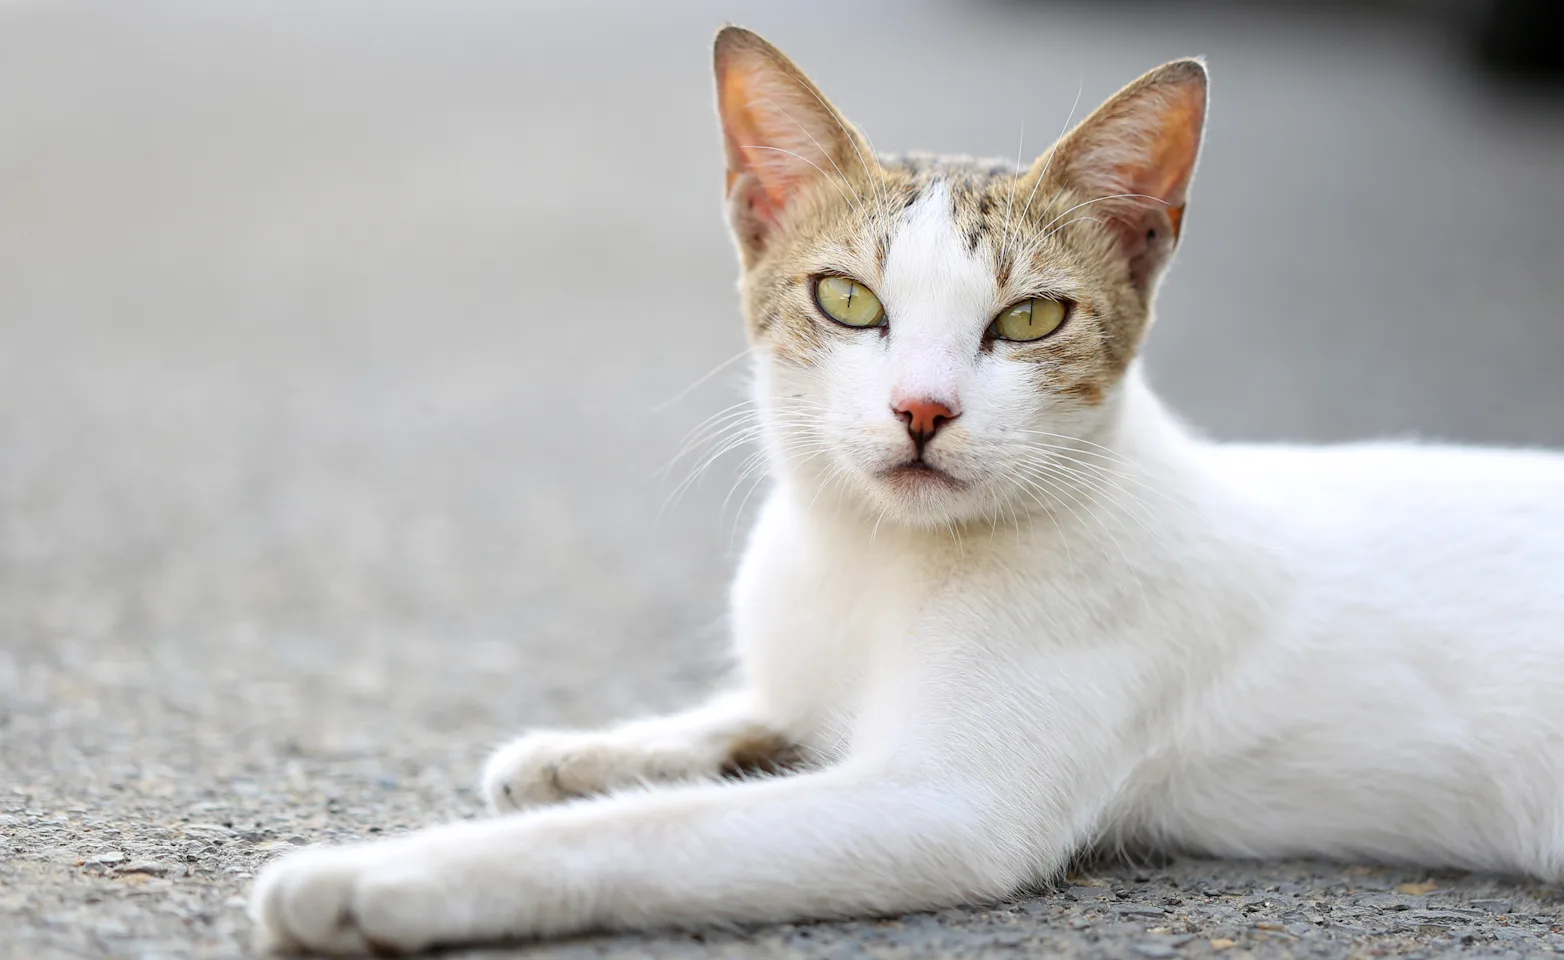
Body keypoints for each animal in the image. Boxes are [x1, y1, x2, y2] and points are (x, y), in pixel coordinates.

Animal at [243, 26, 1564, 956]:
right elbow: (747, 715)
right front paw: (587, 750)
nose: (921, 411)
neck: (869, 556)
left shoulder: (939, 805)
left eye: (1030, 319)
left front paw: (390, 876)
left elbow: (655, 833)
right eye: (847, 301)